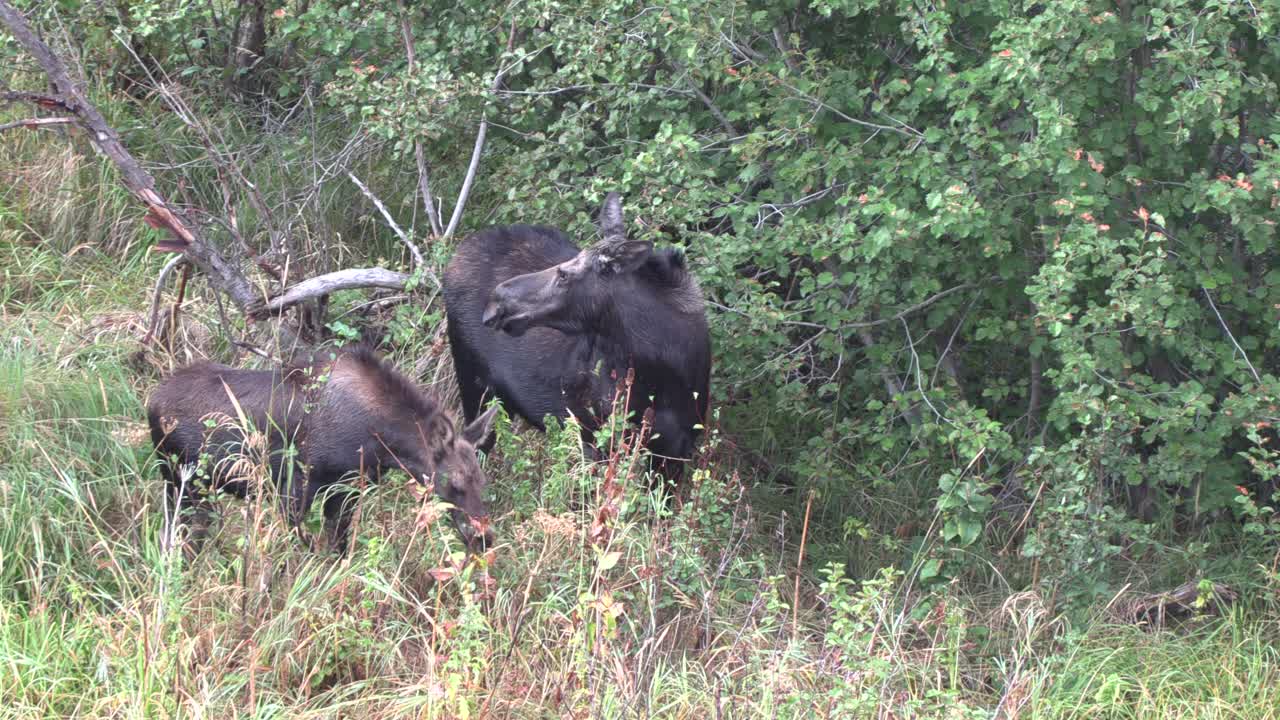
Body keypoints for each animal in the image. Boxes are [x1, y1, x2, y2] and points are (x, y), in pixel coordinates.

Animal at [144, 345, 494, 550]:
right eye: (455, 484)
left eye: (482, 480)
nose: (484, 538)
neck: (381, 442)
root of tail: (151, 404)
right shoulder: (297, 490)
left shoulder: (346, 490)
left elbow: (338, 548)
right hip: (186, 486)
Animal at [442, 190, 711, 481]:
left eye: (563, 275)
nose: (496, 302)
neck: (664, 374)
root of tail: (453, 258)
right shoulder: (594, 438)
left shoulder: (675, 451)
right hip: (475, 389)